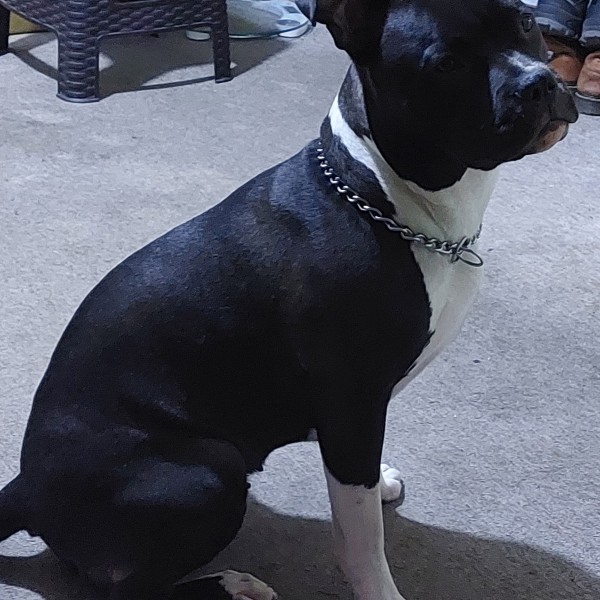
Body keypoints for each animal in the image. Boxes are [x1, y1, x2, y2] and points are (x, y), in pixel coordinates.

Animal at [0, 1, 577, 599]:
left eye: (526, 23)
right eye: (446, 64)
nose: (540, 83)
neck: (383, 196)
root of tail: (24, 487)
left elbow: (363, 494)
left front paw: (382, 484)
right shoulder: (352, 408)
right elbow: (361, 535)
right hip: (210, 471)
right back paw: (233, 583)